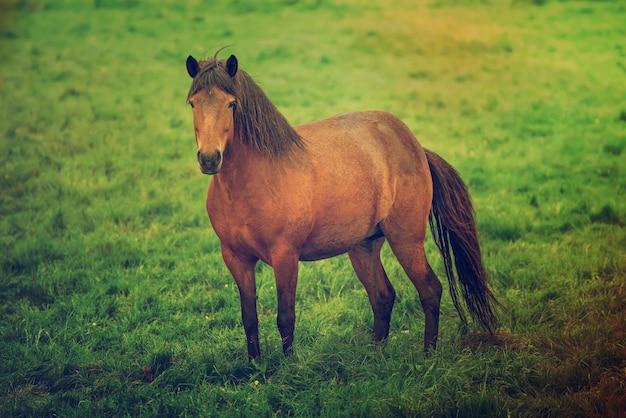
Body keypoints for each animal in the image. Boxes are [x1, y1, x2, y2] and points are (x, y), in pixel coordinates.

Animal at [183, 51, 500, 360]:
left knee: (430, 290)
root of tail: (416, 148)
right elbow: (249, 318)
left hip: (406, 240)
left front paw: (288, 368)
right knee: (383, 296)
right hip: (364, 246)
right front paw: (255, 367)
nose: (209, 159)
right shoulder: (236, 259)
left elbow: (285, 317)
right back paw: (374, 355)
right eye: (192, 103)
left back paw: (427, 355)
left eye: (231, 104)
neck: (254, 182)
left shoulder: (285, 257)